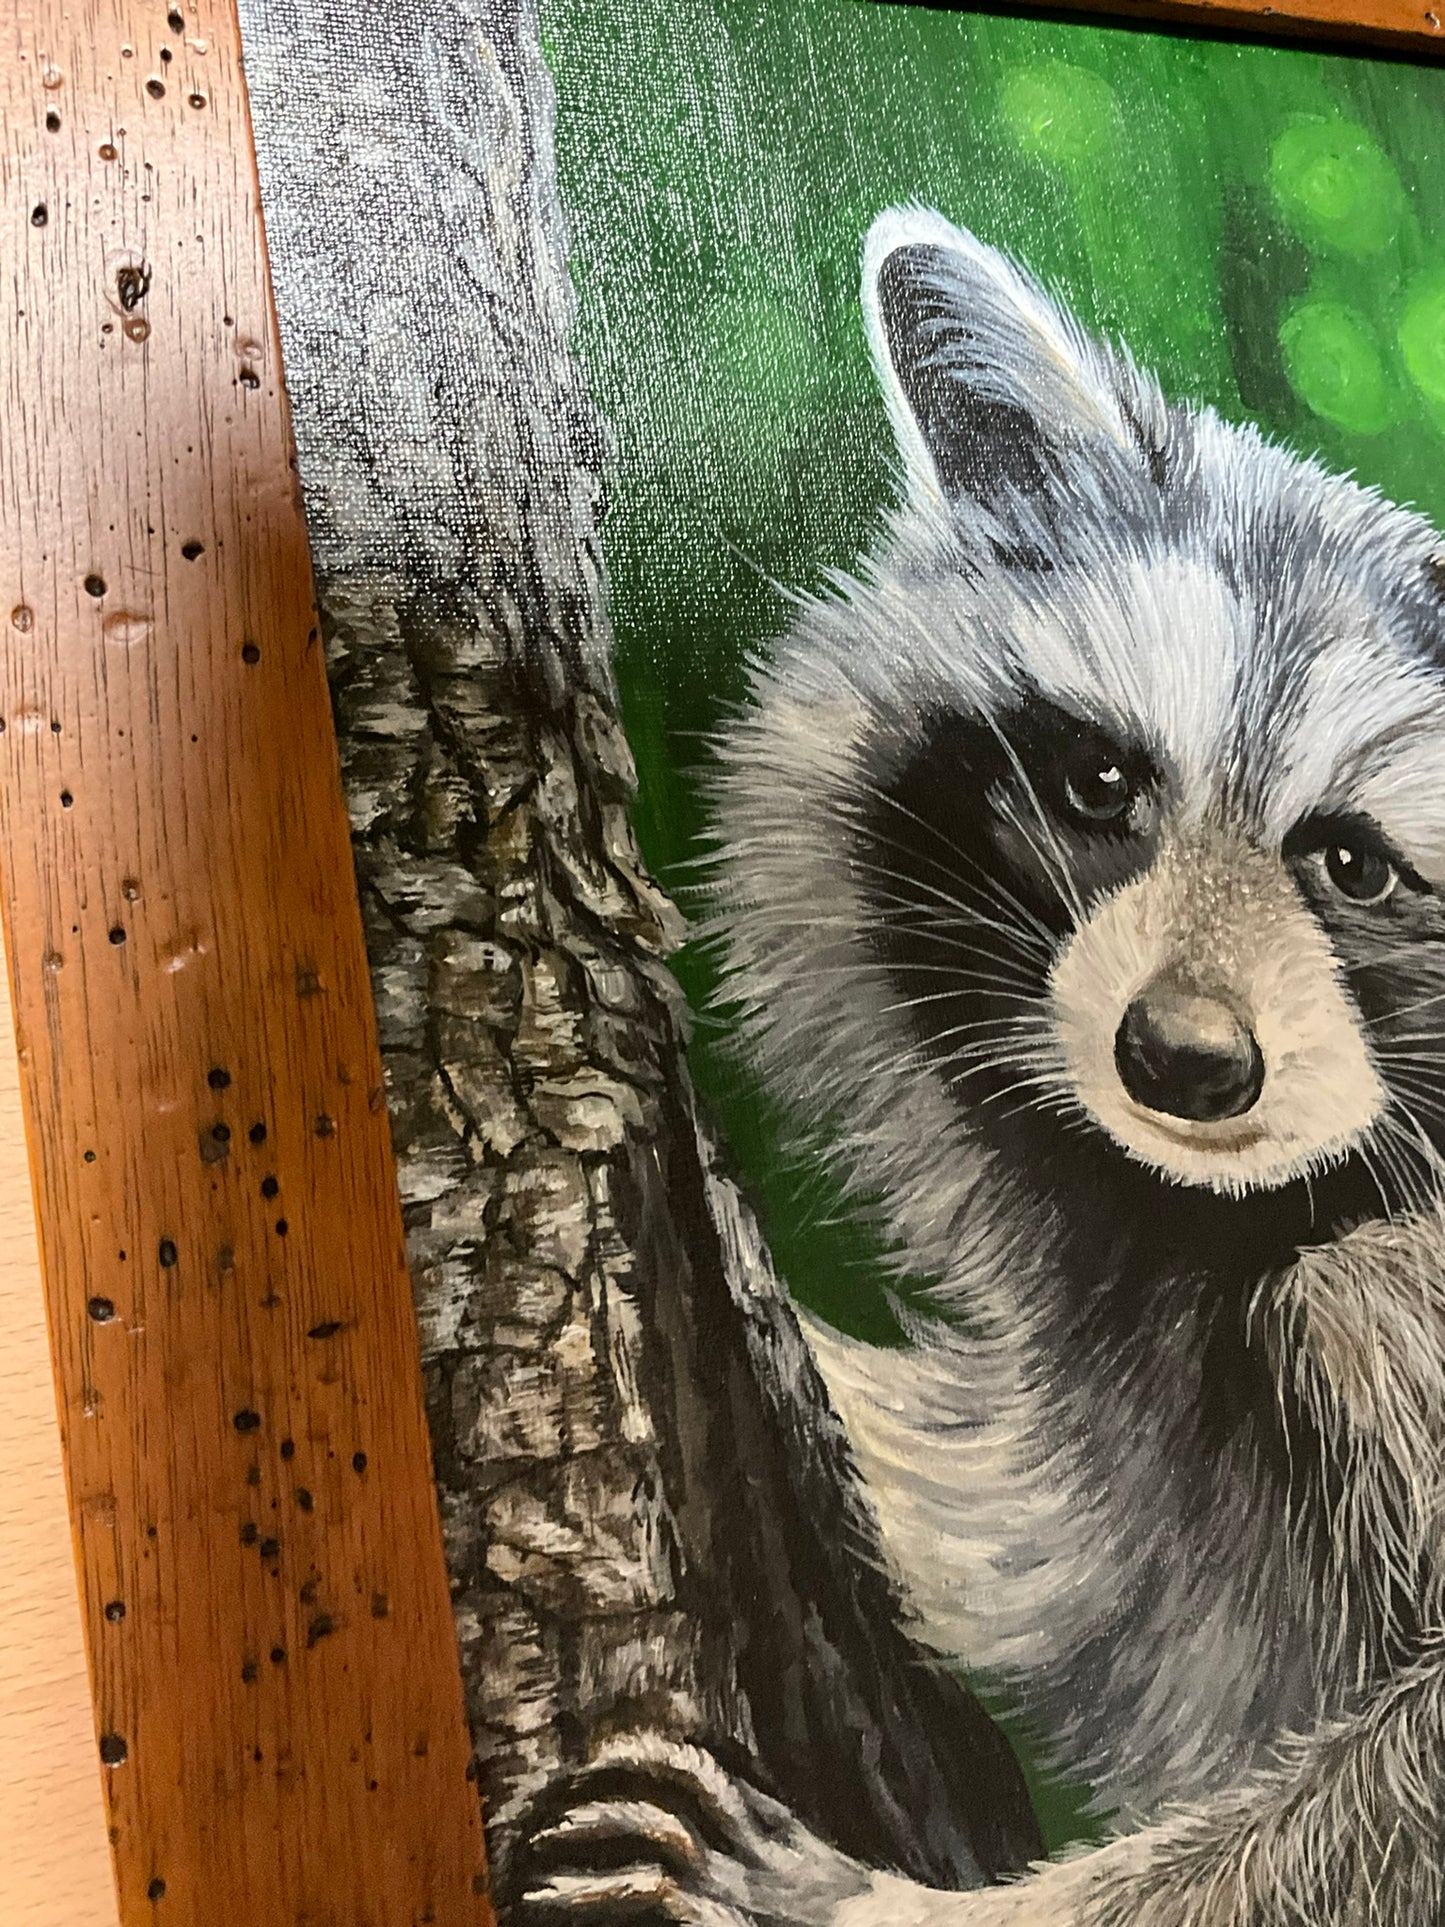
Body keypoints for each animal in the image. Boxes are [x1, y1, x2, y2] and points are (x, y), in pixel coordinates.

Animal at [520, 212, 1445, 1925]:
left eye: (1353, 864)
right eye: (1100, 781)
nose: (1182, 1061)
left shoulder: (1383, 1292)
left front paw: (874, 1901)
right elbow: (1059, 1547)